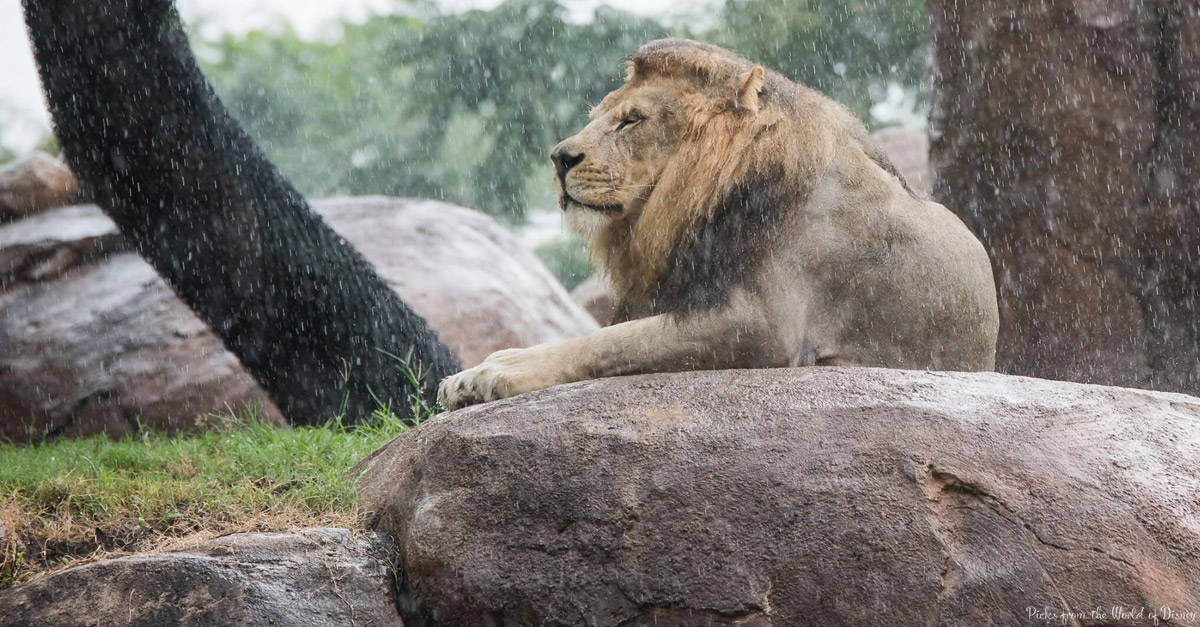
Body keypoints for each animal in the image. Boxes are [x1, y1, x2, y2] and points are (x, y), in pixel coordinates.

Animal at [438, 39, 999, 410]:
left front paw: (490, 371)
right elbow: (611, 334)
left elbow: (609, 341)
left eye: (632, 119)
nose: (559, 158)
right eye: (598, 116)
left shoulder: (767, 328)